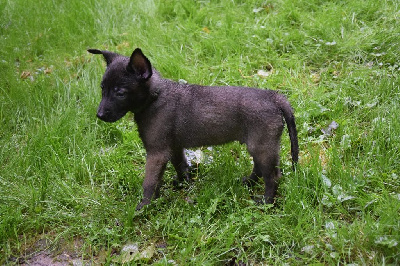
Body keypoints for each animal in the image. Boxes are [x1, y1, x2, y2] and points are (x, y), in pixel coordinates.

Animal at [88, 47, 300, 210]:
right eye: (102, 88)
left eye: (120, 93)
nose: (99, 115)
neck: (156, 97)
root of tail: (274, 97)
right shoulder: (174, 147)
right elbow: (181, 165)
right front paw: (183, 184)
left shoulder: (157, 153)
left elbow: (150, 181)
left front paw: (144, 206)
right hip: (260, 144)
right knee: (262, 168)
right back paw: (249, 182)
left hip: (262, 145)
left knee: (273, 176)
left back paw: (266, 202)